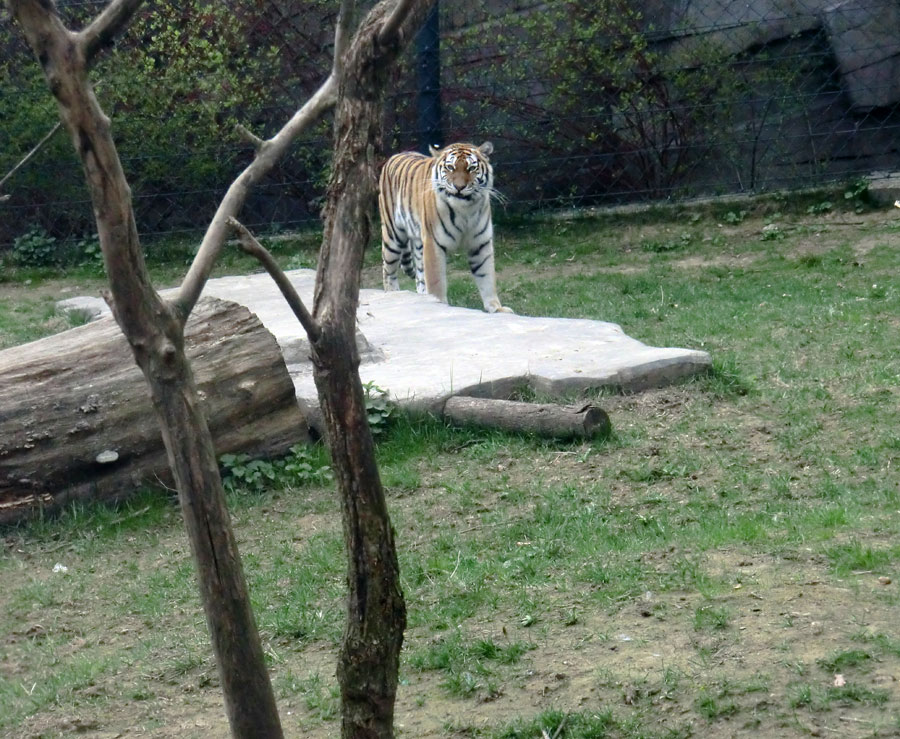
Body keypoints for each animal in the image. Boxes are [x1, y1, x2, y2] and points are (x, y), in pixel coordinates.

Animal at [376, 141, 510, 312]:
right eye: (450, 167)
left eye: (471, 168)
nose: (459, 187)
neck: (465, 209)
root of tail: (397, 154)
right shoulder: (433, 243)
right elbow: (436, 281)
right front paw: (438, 305)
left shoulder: (481, 243)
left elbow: (487, 277)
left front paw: (496, 308)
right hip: (392, 236)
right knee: (388, 271)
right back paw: (393, 293)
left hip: (419, 244)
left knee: (420, 276)